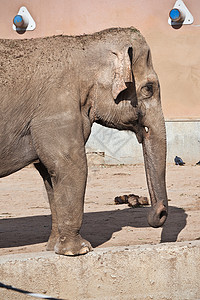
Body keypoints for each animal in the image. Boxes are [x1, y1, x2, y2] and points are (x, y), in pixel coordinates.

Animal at [0, 27, 168, 255]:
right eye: (149, 88)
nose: (158, 214)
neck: (85, 44)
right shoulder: (57, 109)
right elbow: (72, 164)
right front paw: (79, 251)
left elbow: (50, 173)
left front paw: (53, 248)